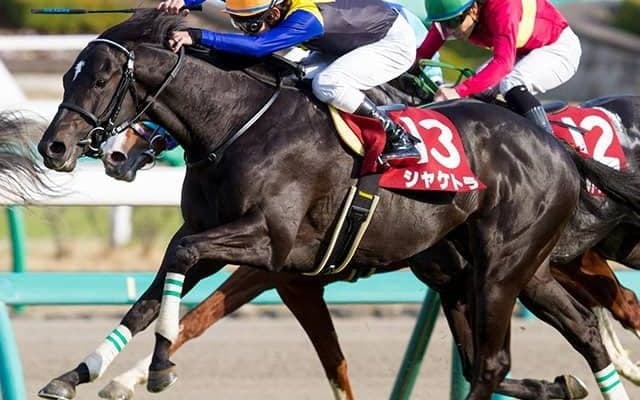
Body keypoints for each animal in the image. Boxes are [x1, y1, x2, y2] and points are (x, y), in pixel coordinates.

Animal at [36, 11, 640, 400]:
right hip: (505, 271)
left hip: (504, 268)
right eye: (66, 74)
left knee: (497, 361)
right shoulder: (227, 242)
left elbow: (187, 285)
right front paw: (76, 374)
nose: (55, 147)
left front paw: (158, 369)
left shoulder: (271, 245)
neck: (238, 124)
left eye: (103, 77)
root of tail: (558, 150)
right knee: (568, 335)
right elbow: (151, 296)